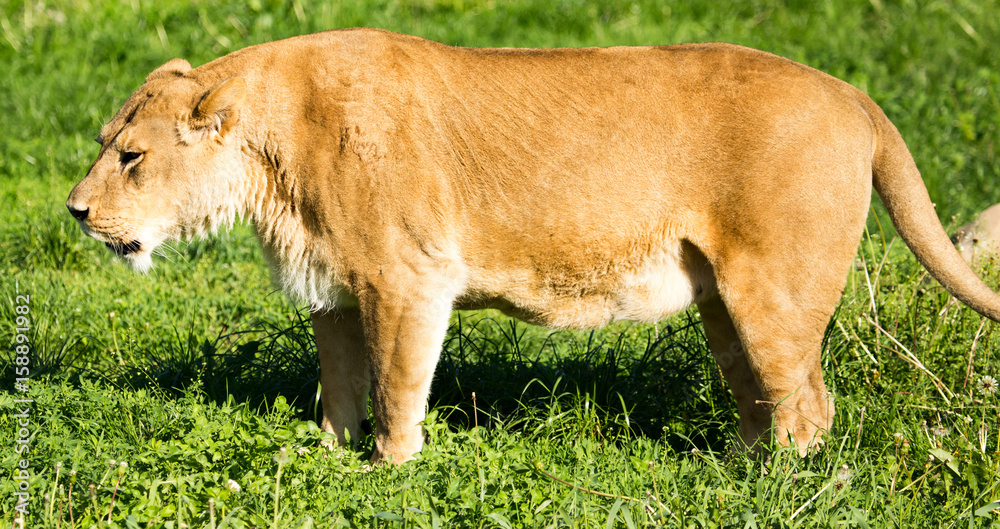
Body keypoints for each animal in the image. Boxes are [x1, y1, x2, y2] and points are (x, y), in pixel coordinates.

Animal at [67, 28, 1000, 464]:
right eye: (108, 142)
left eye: (131, 156)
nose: (74, 211)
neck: (271, 158)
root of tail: (856, 94)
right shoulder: (332, 286)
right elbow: (339, 386)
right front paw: (326, 457)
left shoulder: (408, 278)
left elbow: (397, 383)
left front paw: (389, 468)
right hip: (723, 301)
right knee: (762, 396)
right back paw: (733, 467)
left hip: (774, 287)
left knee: (809, 407)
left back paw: (767, 490)